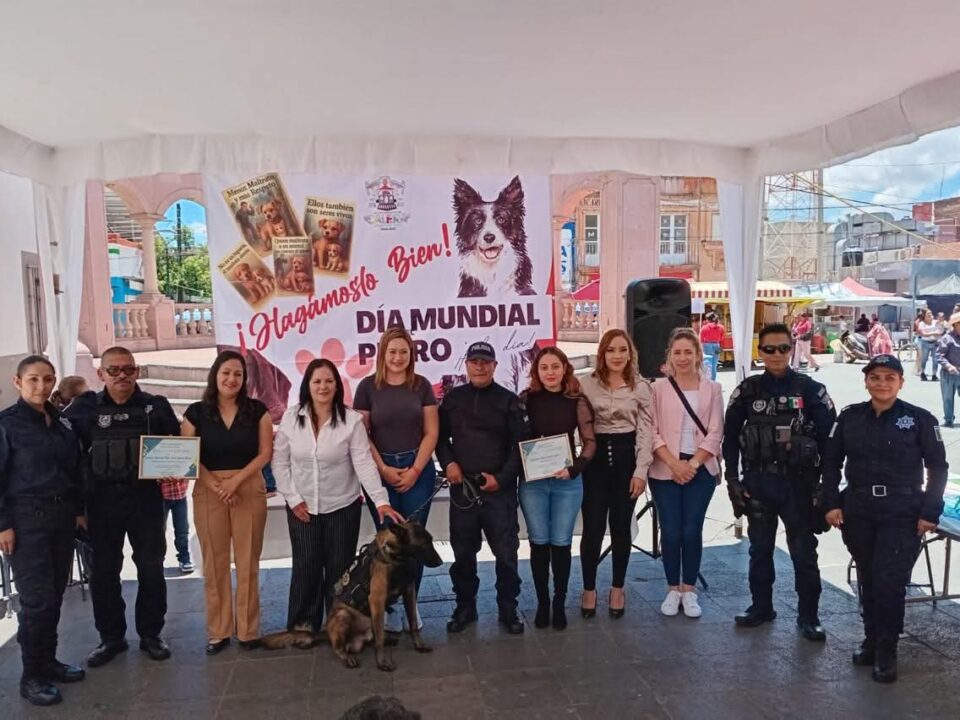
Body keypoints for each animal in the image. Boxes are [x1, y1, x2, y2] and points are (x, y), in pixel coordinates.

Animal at [257, 520, 442, 672]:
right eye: (424, 544)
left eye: (431, 540)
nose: (441, 562)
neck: (396, 558)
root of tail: (327, 632)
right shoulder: (377, 599)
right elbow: (379, 639)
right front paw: (382, 662)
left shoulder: (409, 592)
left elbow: (412, 624)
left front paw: (419, 645)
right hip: (343, 615)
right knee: (341, 646)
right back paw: (347, 657)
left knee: (374, 634)